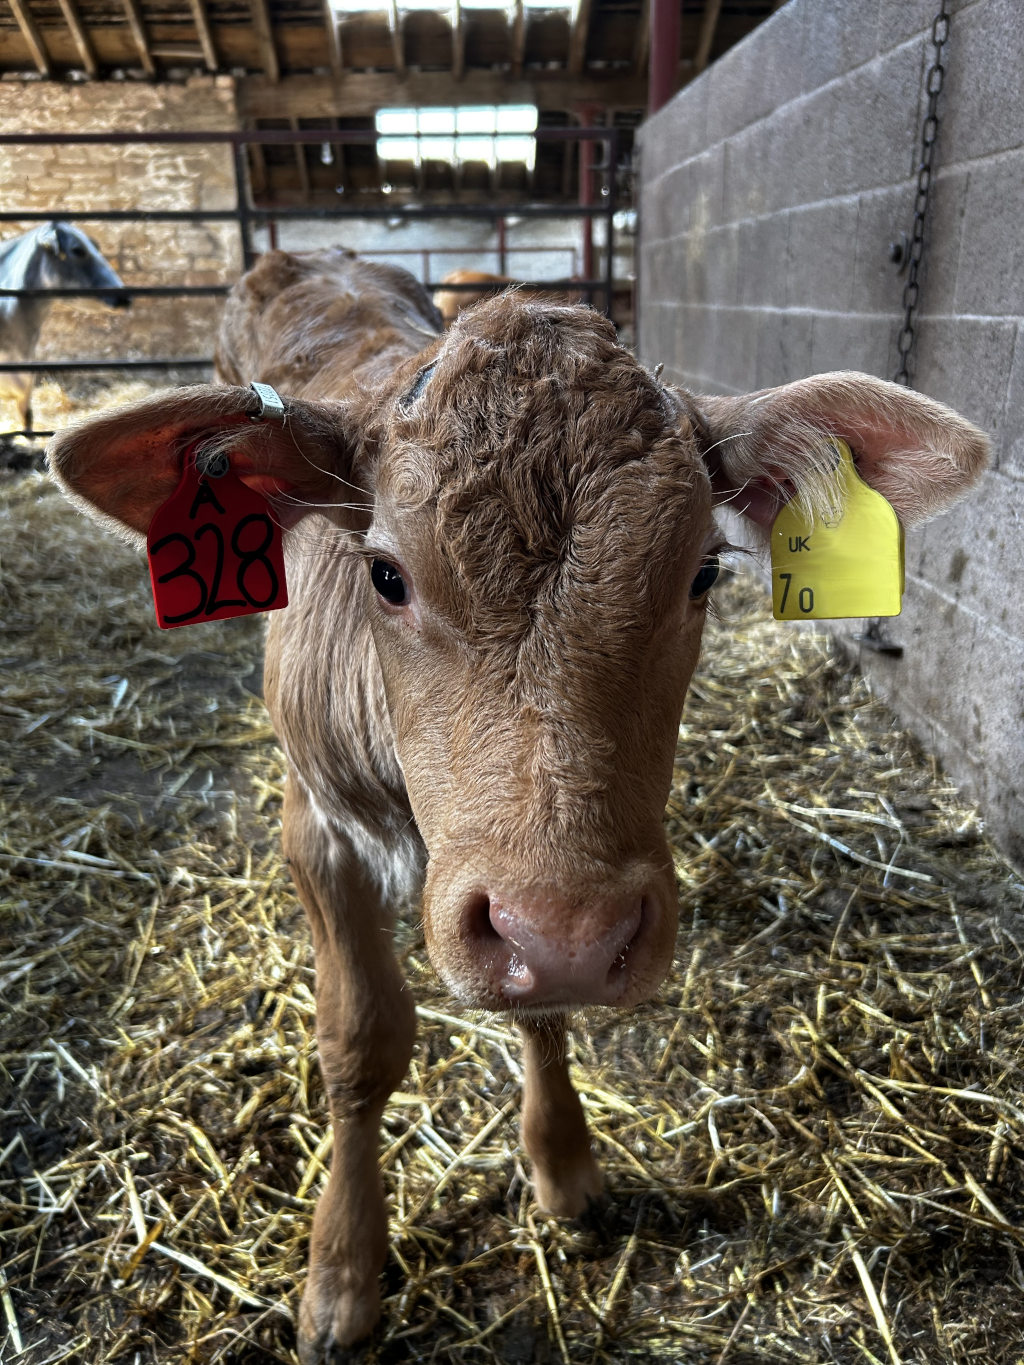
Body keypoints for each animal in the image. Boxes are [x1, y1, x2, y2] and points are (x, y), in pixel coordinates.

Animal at [47, 245, 989, 1361]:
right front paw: (341, 1271)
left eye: (704, 573)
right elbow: (360, 1041)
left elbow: (542, 1010)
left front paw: (565, 1165)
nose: (568, 930)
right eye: (385, 574)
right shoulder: (316, 825)